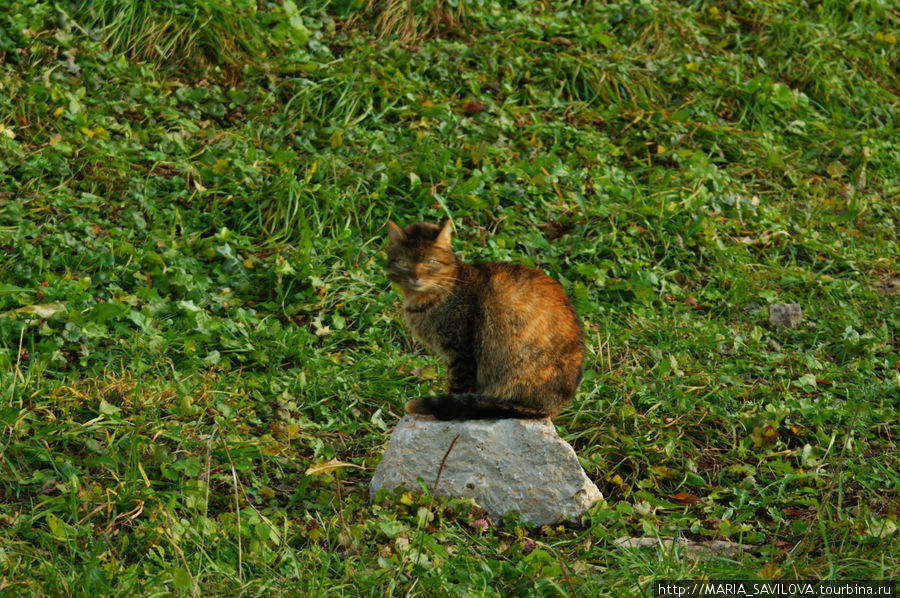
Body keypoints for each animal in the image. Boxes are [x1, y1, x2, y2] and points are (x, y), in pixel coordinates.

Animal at [384, 220, 584, 422]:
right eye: (403, 263)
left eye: (431, 262)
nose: (415, 277)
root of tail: (554, 406)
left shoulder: (461, 353)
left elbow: (457, 389)